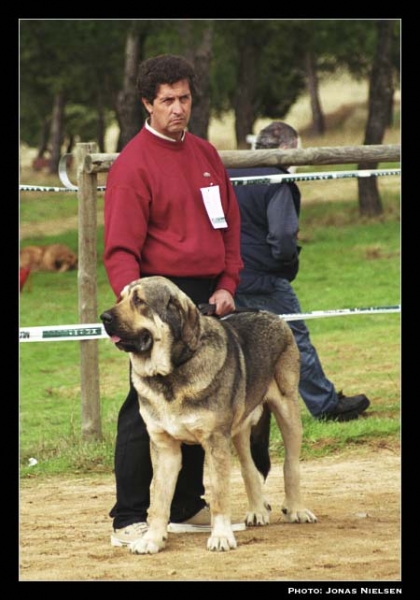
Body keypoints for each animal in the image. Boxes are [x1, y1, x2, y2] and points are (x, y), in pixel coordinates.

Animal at [100, 276, 316, 552]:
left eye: (139, 301)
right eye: (121, 298)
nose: (104, 317)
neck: (171, 373)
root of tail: (270, 314)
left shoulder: (215, 442)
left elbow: (220, 496)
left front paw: (221, 536)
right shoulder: (164, 447)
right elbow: (159, 500)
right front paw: (152, 539)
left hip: (287, 412)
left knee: (291, 464)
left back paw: (297, 509)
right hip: (240, 429)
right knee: (248, 467)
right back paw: (258, 510)